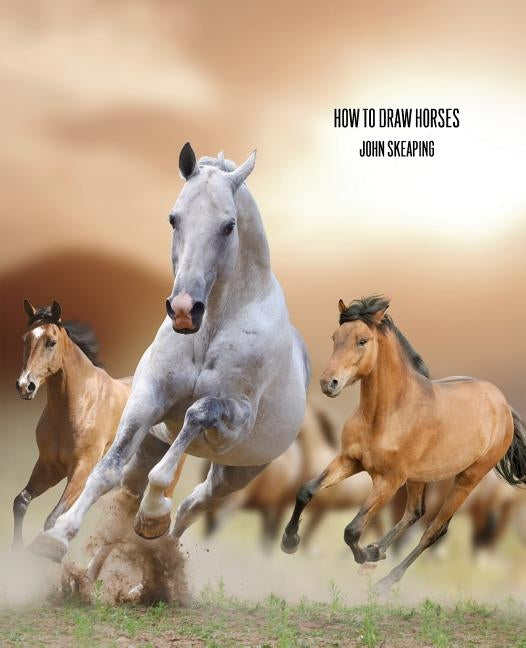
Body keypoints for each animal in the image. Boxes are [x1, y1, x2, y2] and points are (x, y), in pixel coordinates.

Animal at [13, 300, 186, 556]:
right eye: (26, 339)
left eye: (51, 342)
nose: (26, 385)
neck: (80, 404)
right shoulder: (49, 467)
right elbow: (22, 501)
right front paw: (15, 549)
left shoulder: (82, 470)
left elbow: (53, 518)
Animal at [281, 295, 526, 593]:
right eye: (335, 337)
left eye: (362, 340)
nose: (329, 383)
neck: (385, 414)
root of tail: (504, 406)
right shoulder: (349, 460)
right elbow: (306, 491)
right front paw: (289, 542)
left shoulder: (389, 480)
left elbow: (352, 529)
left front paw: (364, 555)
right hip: (420, 477)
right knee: (415, 513)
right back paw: (377, 552)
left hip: (467, 478)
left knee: (434, 529)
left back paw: (384, 580)